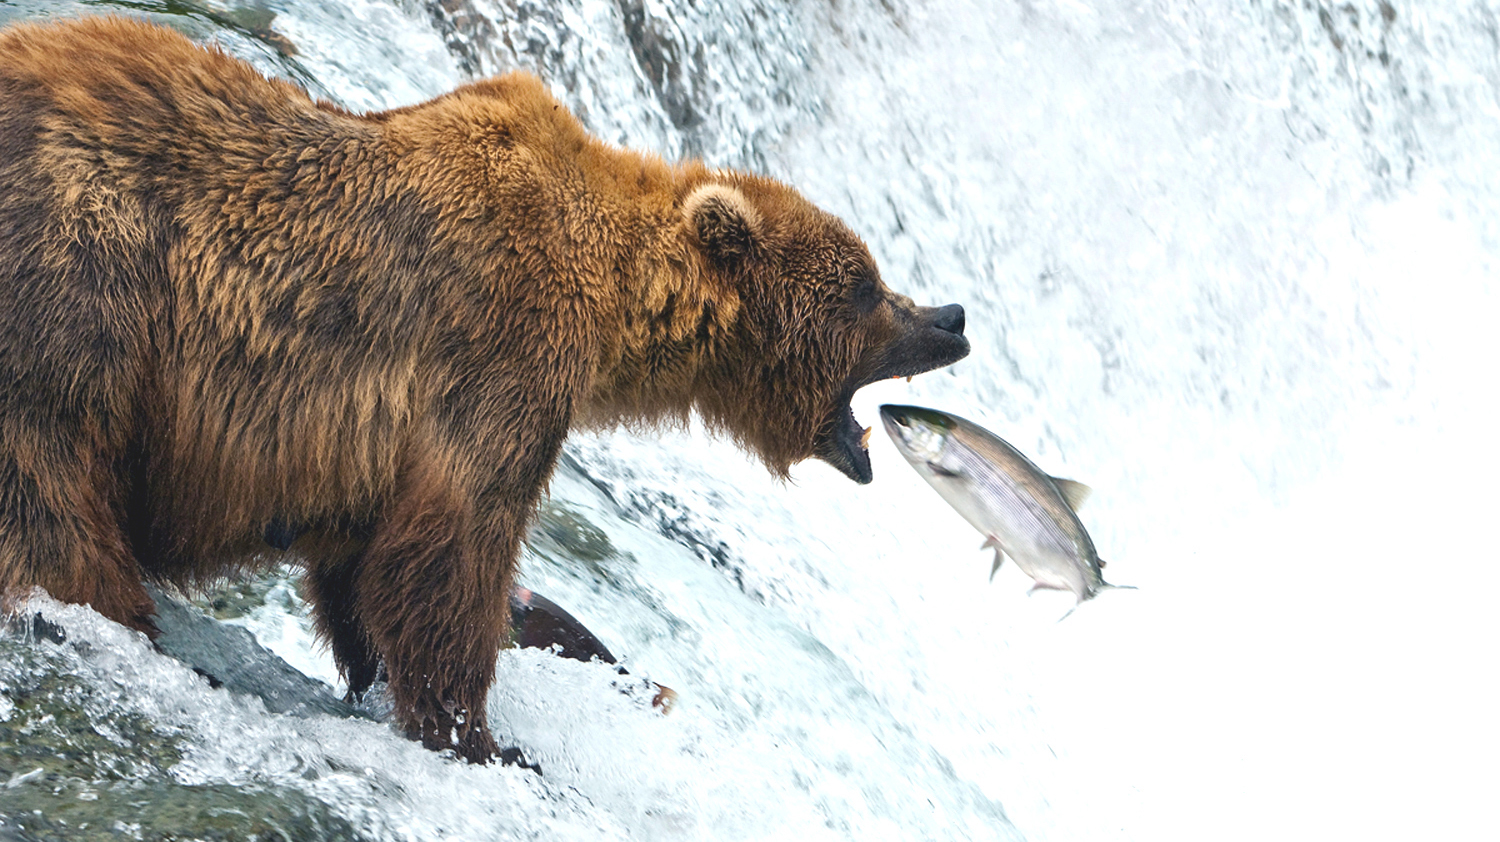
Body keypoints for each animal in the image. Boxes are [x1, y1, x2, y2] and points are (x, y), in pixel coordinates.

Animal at [0, 16, 969, 764]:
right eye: (865, 287)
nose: (951, 317)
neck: (610, 299)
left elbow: (367, 564)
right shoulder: (499, 350)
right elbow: (448, 553)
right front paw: (484, 737)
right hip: (82, 280)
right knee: (51, 482)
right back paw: (111, 611)